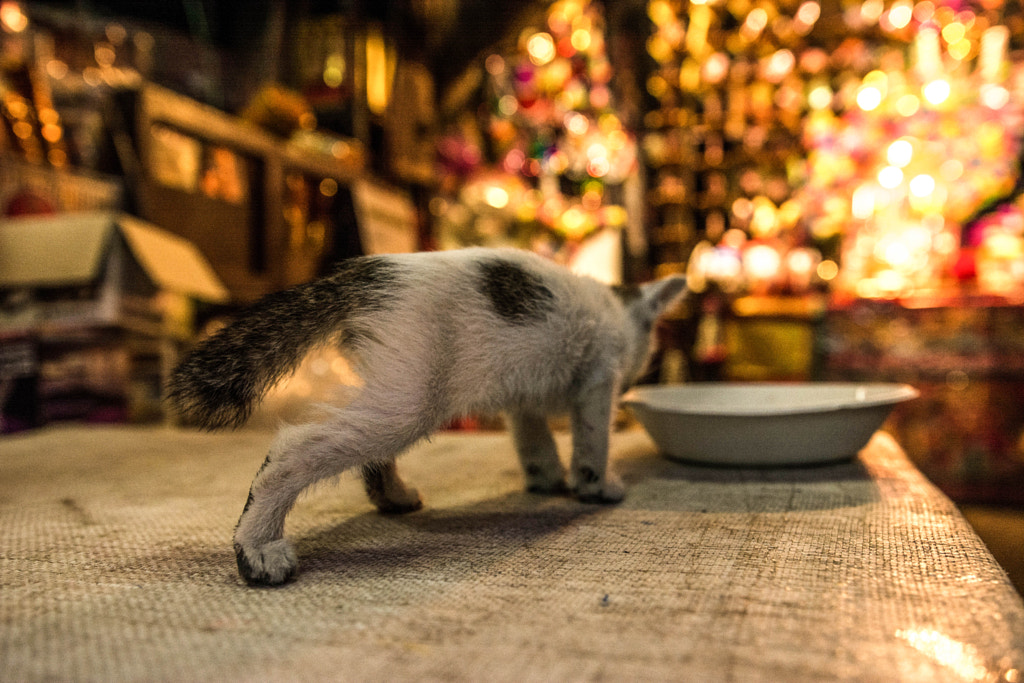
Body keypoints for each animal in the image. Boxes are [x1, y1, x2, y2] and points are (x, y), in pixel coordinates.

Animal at [165, 248, 688, 585]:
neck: (616, 305)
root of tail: (361, 273)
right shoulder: (599, 378)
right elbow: (594, 438)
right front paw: (596, 485)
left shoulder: (522, 396)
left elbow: (532, 438)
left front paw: (545, 478)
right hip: (411, 398)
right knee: (290, 451)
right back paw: (259, 549)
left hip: (392, 388)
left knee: (369, 454)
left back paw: (394, 497)